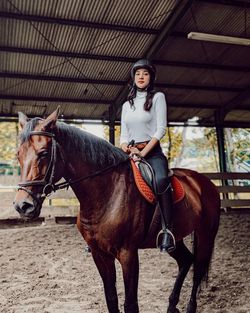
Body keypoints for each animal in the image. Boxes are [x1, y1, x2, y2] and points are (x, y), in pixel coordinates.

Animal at [13, 108, 221, 312]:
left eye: (43, 153)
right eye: (18, 155)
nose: (23, 206)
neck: (107, 193)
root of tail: (204, 182)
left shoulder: (128, 255)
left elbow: (130, 304)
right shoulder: (100, 254)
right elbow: (111, 298)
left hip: (206, 235)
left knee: (198, 269)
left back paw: (190, 307)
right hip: (175, 239)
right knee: (185, 261)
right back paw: (171, 305)